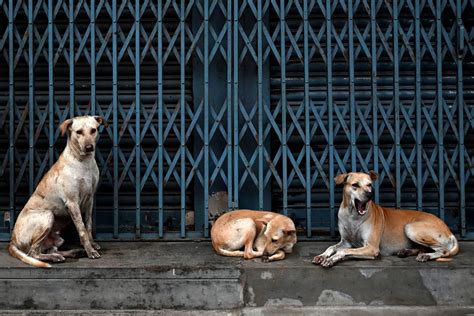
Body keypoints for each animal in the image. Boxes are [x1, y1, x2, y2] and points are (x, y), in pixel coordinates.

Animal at [8, 115, 106, 268]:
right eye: (78, 132)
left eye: (93, 130)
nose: (89, 147)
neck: (84, 162)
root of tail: (12, 240)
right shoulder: (72, 203)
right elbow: (82, 230)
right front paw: (90, 251)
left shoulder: (90, 200)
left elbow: (88, 225)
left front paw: (92, 244)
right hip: (47, 216)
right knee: (33, 253)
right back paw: (56, 257)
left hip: (58, 238)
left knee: (50, 249)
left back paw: (71, 253)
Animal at [312, 172, 458, 268]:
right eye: (355, 185)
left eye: (369, 185)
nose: (370, 194)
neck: (352, 215)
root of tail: (449, 231)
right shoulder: (346, 242)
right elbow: (332, 247)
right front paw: (323, 255)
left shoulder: (371, 248)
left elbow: (343, 251)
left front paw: (332, 259)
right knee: (422, 248)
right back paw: (406, 252)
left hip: (410, 228)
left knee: (443, 250)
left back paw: (427, 256)